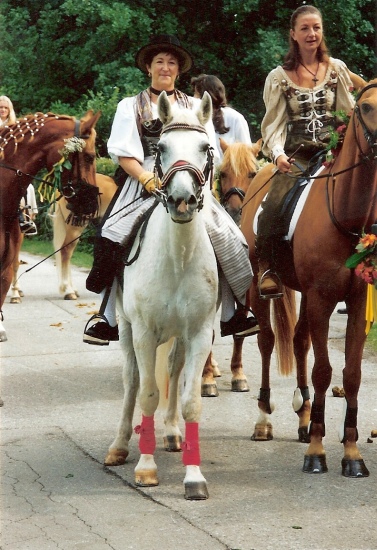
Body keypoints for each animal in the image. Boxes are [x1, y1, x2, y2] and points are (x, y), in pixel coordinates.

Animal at [104, 92, 219, 502]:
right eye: (162, 148)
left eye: (205, 147)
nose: (182, 199)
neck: (177, 257)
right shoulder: (143, 333)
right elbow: (148, 394)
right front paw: (146, 467)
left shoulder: (199, 334)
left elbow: (191, 401)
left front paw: (194, 477)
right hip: (126, 332)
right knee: (131, 380)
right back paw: (120, 445)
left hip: (180, 337)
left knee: (172, 369)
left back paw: (170, 432)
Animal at [241, 81, 376, 478]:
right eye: (365, 107)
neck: (346, 216)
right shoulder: (320, 298)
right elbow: (323, 372)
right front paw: (317, 450)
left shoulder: (355, 302)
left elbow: (350, 374)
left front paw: (351, 453)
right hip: (259, 288)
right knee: (267, 342)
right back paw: (264, 420)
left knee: (299, 342)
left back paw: (302, 419)